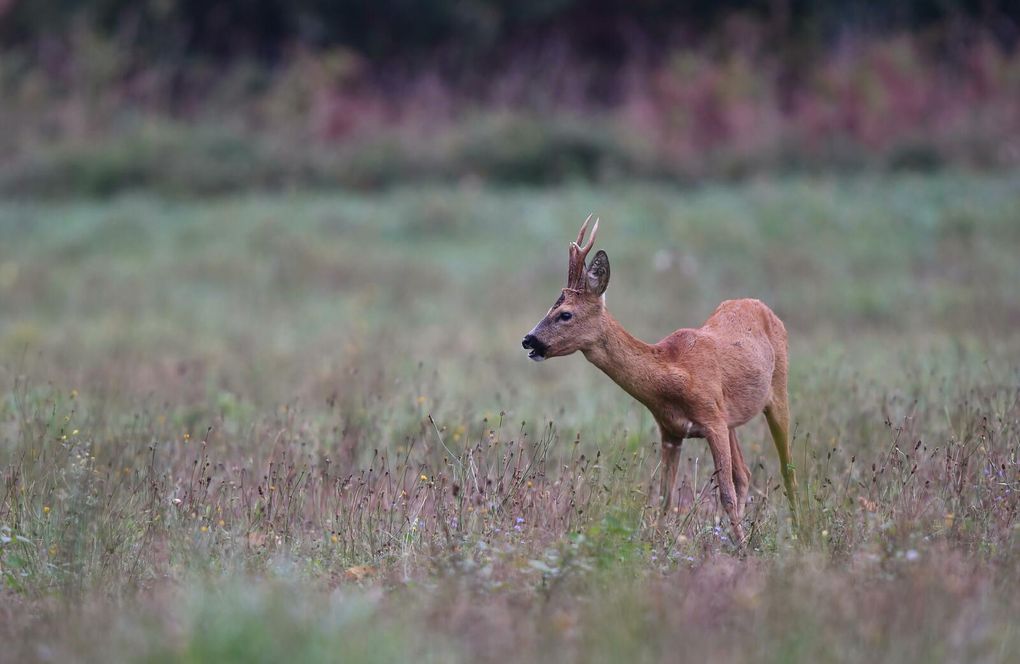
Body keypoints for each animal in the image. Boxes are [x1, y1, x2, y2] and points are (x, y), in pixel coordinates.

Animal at [526, 215, 795, 542]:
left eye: (565, 314)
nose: (529, 340)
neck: (672, 377)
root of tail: (759, 304)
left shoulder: (713, 422)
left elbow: (725, 494)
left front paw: (741, 546)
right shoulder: (670, 431)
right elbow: (665, 497)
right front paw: (659, 542)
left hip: (777, 391)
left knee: (788, 469)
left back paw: (799, 530)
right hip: (731, 417)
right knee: (744, 474)